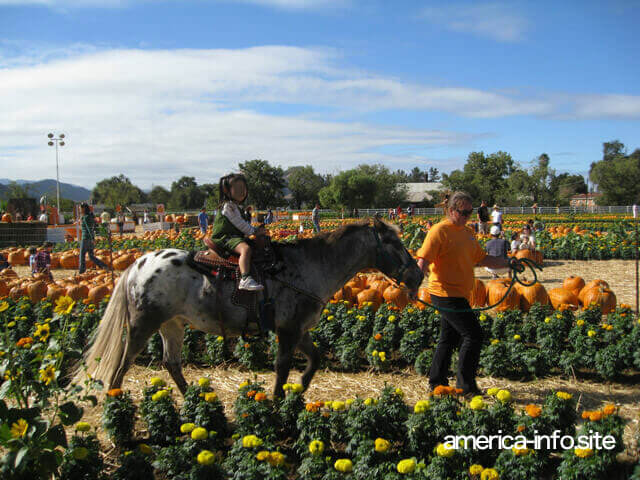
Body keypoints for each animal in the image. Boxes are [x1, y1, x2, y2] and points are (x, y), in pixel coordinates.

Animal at [76, 218, 424, 398]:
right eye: (393, 243)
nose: (418, 275)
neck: (311, 266)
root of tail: (137, 265)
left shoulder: (299, 331)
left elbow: (314, 360)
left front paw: (298, 392)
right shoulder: (288, 331)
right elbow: (282, 367)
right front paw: (279, 401)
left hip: (171, 325)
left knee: (171, 363)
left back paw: (192, 399)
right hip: (143, 325)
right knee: (122, 364)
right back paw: (117, 402)